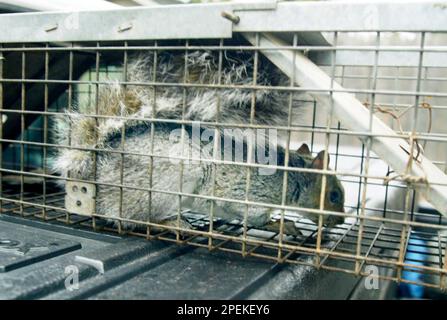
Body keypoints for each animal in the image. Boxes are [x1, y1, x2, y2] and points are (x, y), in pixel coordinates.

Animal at [51, 50, 346, 235]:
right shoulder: (251, 195)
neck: (291, 177)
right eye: (334, 195)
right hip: (163, 186)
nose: (341, 220)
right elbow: (258, 218)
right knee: (134, 220)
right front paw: (282, 225)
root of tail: (96, 170)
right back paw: (174, 224)